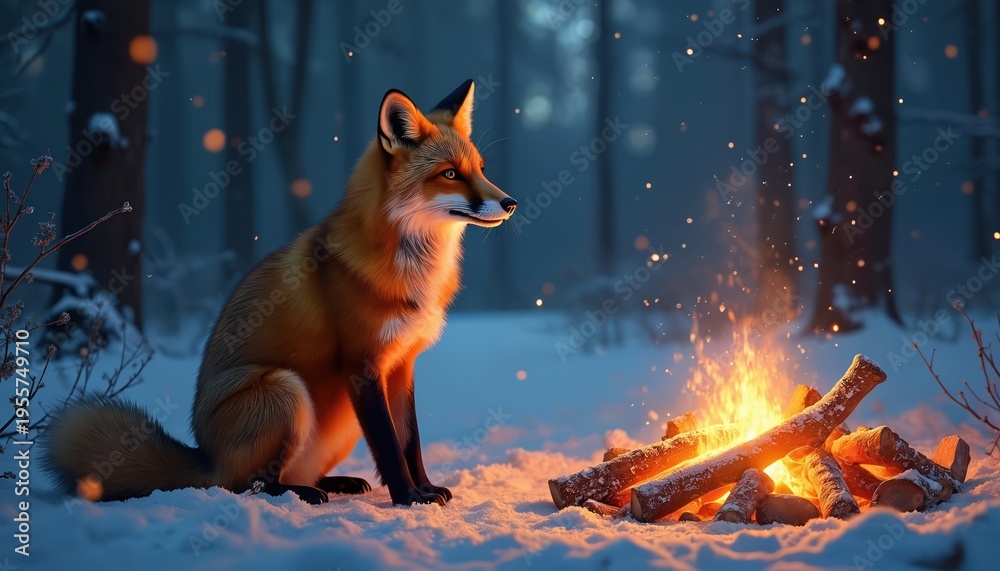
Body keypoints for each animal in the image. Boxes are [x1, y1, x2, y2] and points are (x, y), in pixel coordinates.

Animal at [42, 79, 517, 506]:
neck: (412, 270)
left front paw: (426, 489)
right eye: (450, 174)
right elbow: (388, 446)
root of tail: (206, 457)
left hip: (338, 421)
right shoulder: (363, 364)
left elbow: (410, 443)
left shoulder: (402, 363)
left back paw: (336, 483)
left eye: (482, 169)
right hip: (285, 390)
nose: (510, 203)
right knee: (249, 485)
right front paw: (408, 499)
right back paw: (301, 493)